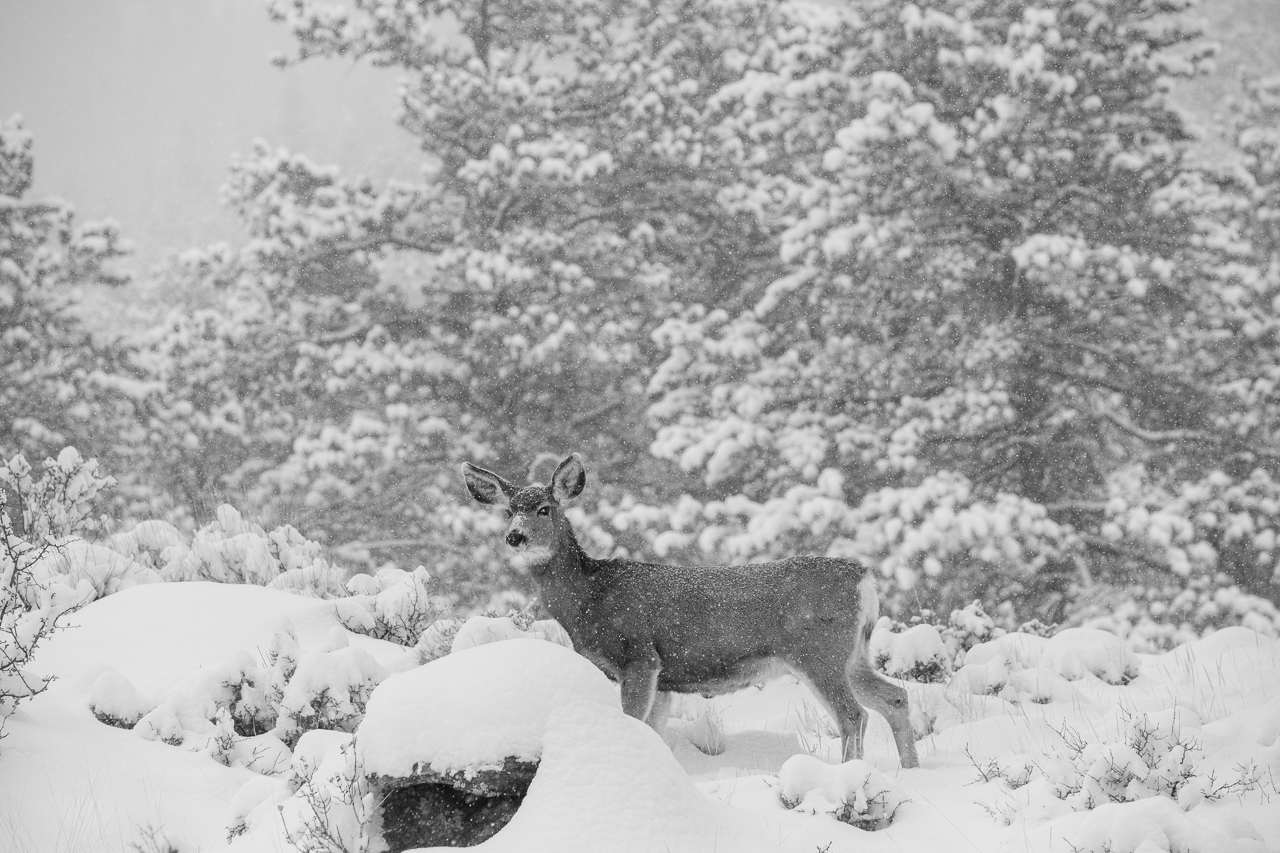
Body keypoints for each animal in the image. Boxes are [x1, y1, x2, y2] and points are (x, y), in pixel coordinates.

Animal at [460, 450, 921, 763]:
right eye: (508, 511)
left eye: (544, 508)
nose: (515, 537)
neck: (589, 601)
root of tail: (864, 579)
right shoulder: (665, 679)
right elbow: (654, 732)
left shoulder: (640, 656)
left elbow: (634, 723)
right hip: (853, 654)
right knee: (895, 698)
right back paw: (911, 771)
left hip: (818, 652)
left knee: (853, 715)